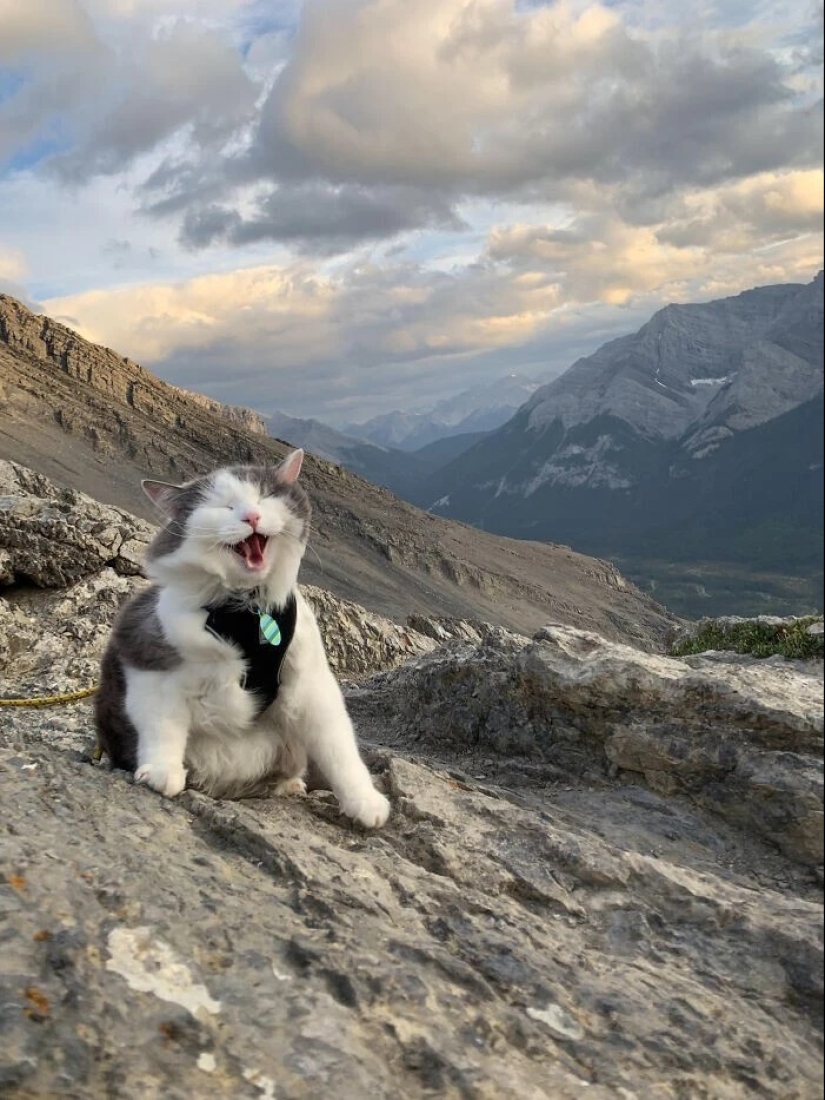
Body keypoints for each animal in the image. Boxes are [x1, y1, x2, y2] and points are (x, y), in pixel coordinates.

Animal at [95, 446, 391, 827]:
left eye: (263, 496)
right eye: (225, 506)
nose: (251, 516)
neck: (247, 610)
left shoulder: (311, 684)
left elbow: (339, 748)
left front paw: (365, 802)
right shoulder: (147, 659)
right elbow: (161, 725)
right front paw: (161, 772)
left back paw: (289, 785)